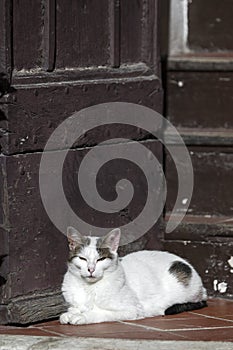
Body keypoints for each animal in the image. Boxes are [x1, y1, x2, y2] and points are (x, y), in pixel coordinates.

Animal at [60, 227, 208, 326]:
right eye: (82, 259)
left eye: (100, 259)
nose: (91, 269)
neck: (88, 288)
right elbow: (76, 307)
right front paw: (70, 313)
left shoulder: (131, 309)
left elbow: (100, 311)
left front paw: (82, 316)